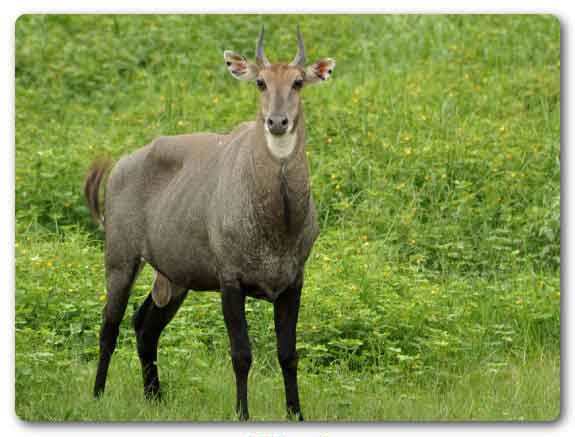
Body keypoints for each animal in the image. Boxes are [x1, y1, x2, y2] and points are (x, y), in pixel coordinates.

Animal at [86, 26, 338, 418]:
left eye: (298, 82)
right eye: (261, 83)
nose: (277, 122)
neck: (278, 221)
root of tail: (122, 164)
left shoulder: (293, 282)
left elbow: (288, 354)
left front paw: (296, 414)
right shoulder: (230, 280)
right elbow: (241, 354)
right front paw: (242, 413)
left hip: (175, 278)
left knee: (145, 326)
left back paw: (155, 396)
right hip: (121, 259)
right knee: (109, 325)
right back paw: (98, 394)